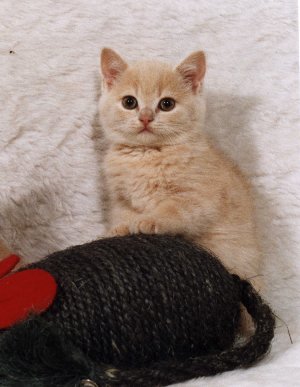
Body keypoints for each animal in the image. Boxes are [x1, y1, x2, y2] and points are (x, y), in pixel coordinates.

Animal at [99, 48, 262, 298]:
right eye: (129, 102)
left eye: (167, 104)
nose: (145, 117)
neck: (147, 155)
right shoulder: (121, 199)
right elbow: (124, 215)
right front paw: (120, 229)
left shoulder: (199, 198)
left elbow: (172, 209)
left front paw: (151, 220)